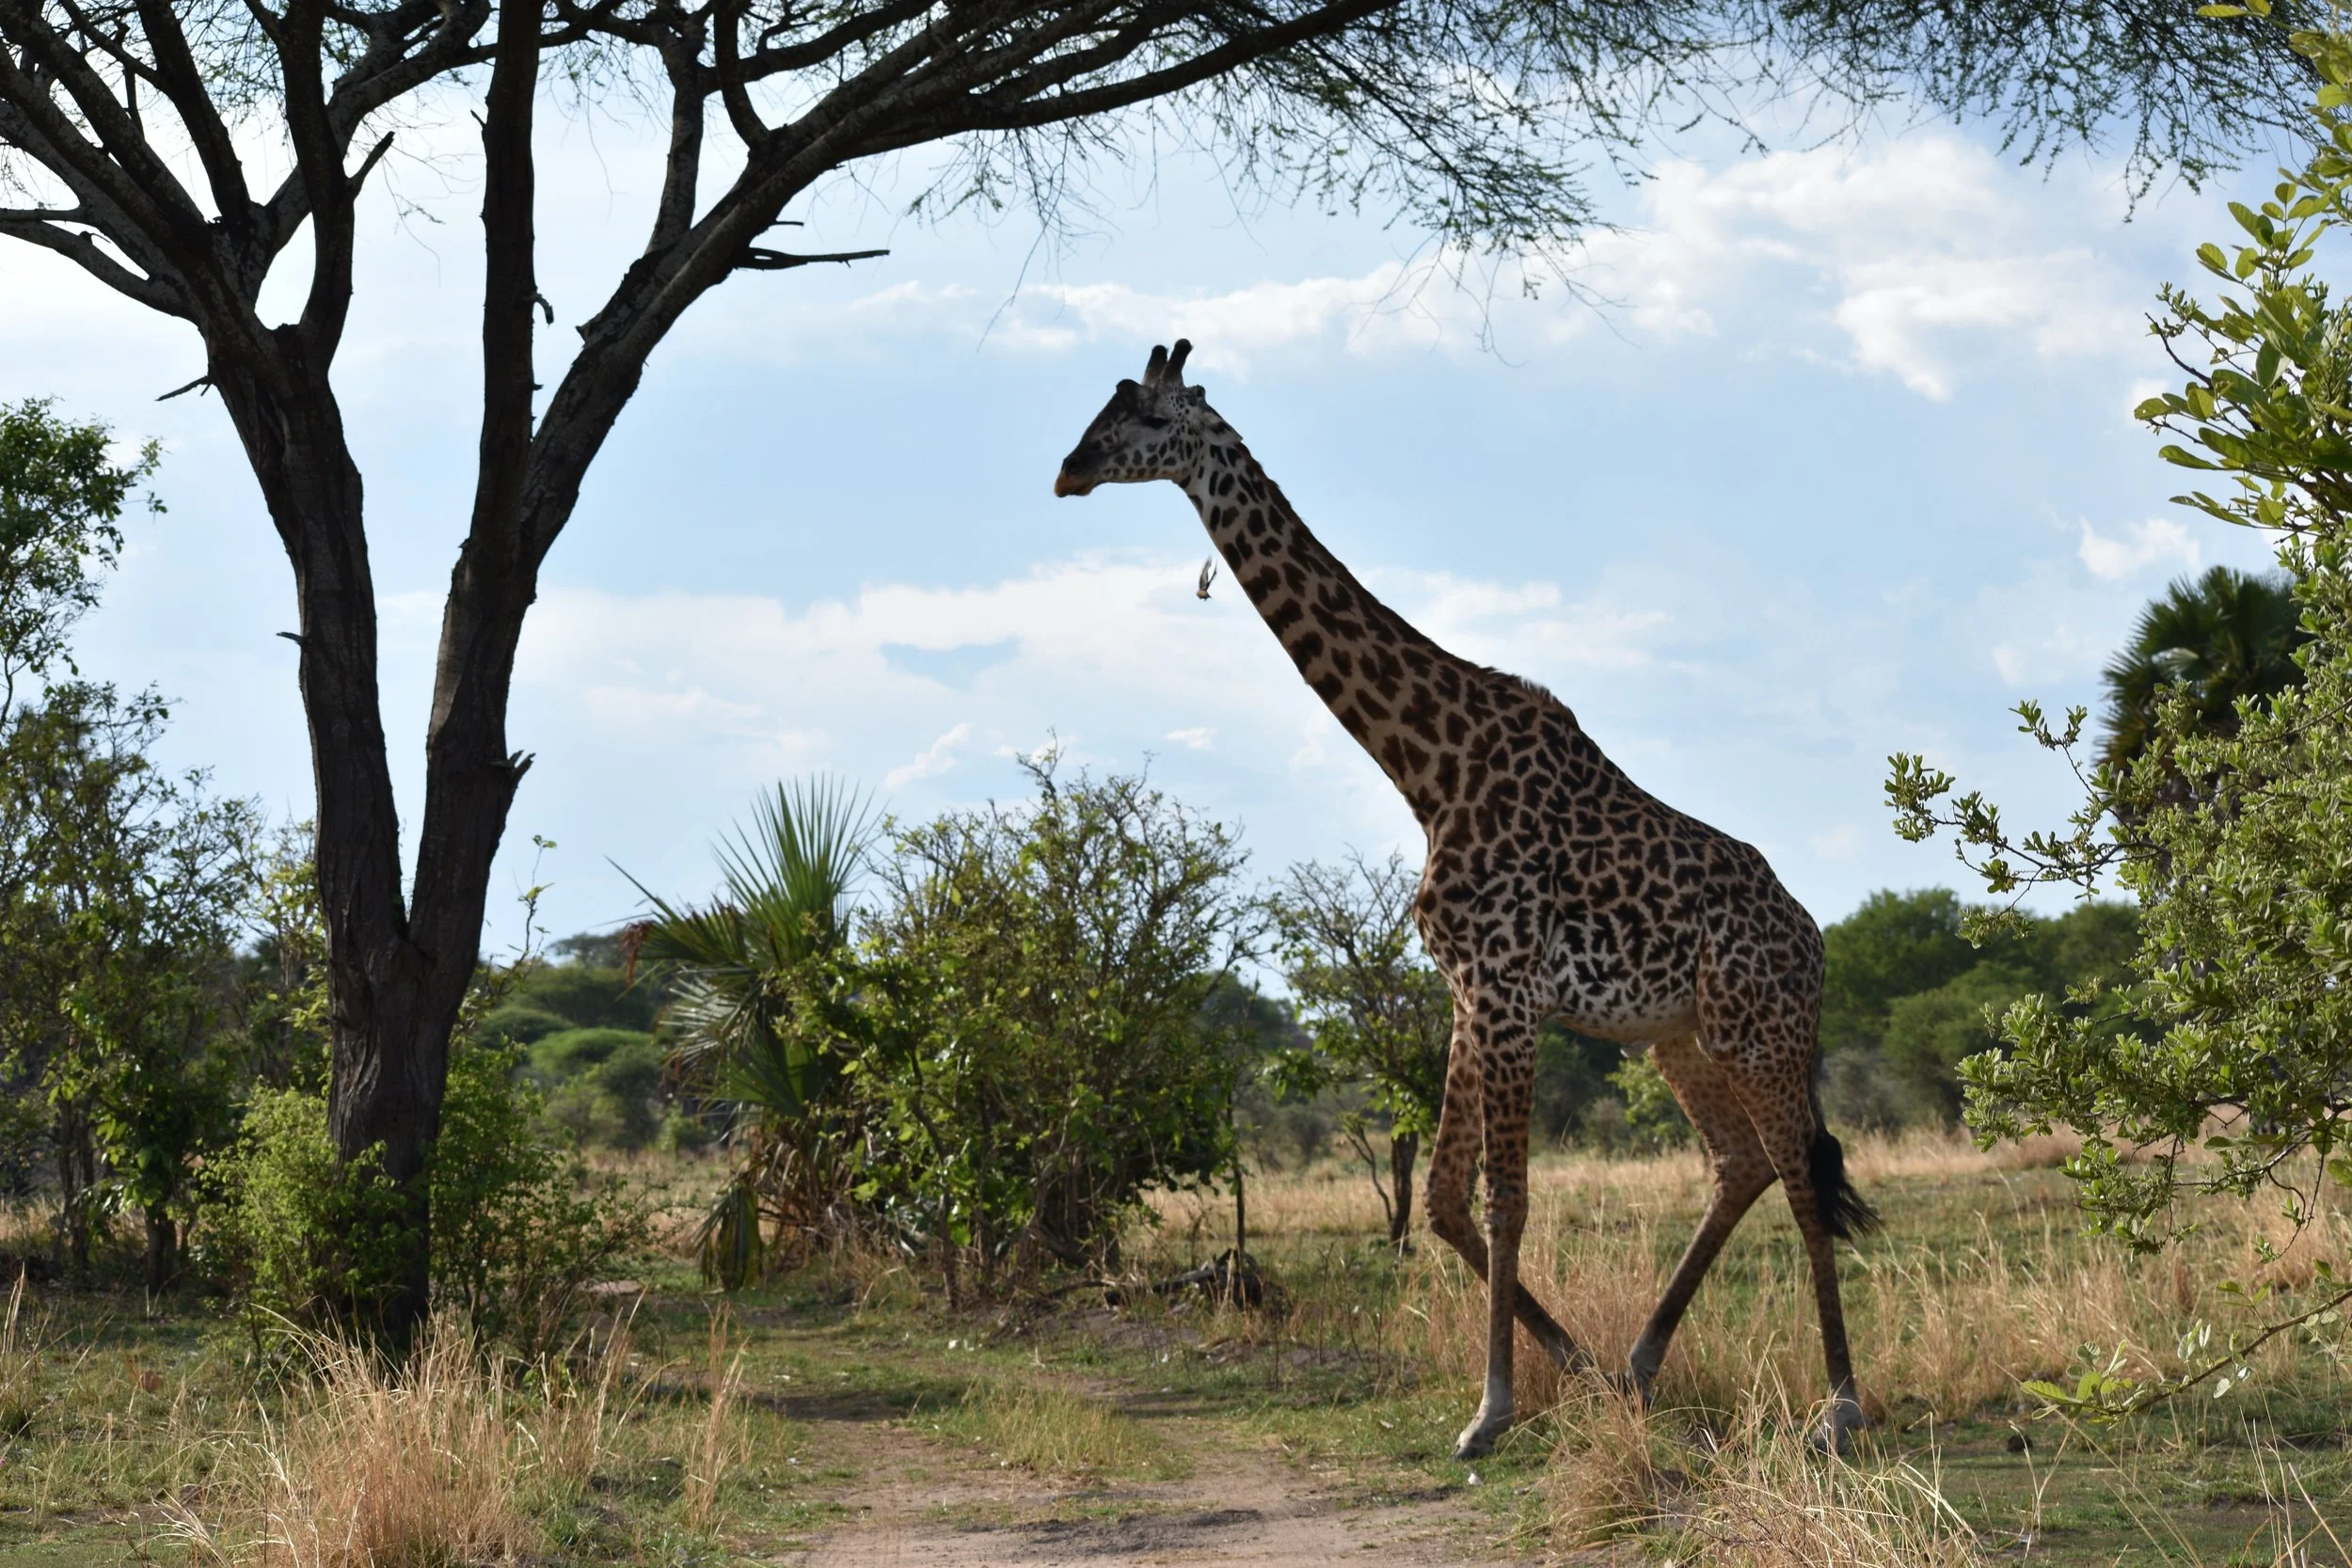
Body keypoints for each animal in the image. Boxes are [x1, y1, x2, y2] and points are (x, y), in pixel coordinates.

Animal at [1053, 340, 1879, 1458]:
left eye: (1139, 417)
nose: (1067, 471)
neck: (1427, 766)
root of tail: (1816, 941)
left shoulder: (1505, 990)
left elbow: (1504, 1201)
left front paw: (1489, 1410)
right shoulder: (1466, 991)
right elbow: (1445, 1200)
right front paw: (1573, 1371)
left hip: (1761, 1030)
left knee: (1798, 1176)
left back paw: (1839, 1407)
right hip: (1679, 1036)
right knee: (1741, 1162)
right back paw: (1639, 1363)